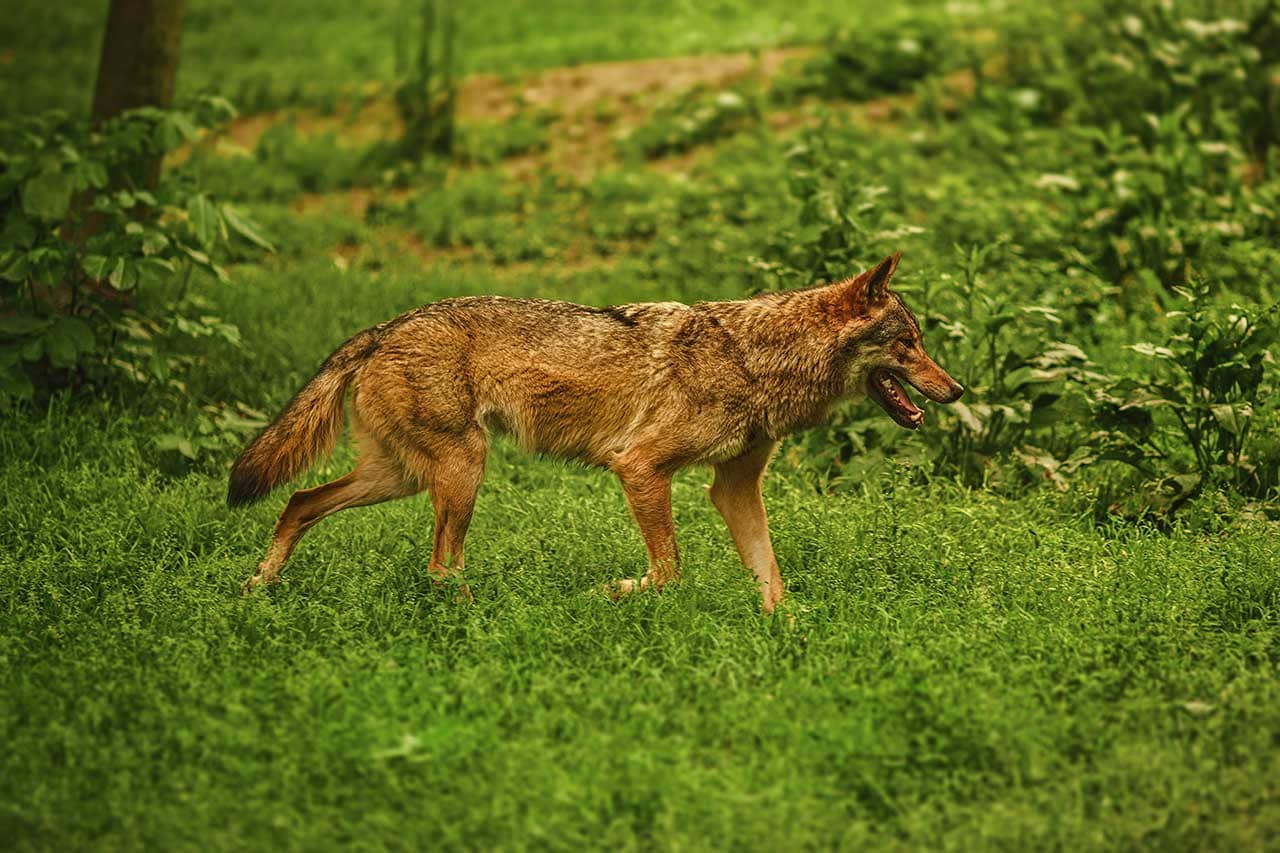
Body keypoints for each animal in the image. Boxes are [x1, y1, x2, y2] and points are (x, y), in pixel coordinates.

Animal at [227, 253, 962, 612]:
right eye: (908, 344)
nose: (956, 391)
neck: (755, 359)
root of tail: (384, 327)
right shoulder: (638, 466)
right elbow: (668, 573)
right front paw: (609, 594)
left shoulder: (733, 489)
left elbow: (771, 579)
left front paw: (788, 637)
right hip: (461, 472)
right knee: (439, 566)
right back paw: (482, 618)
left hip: (404, 477)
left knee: (299, 502)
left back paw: (257, 590)